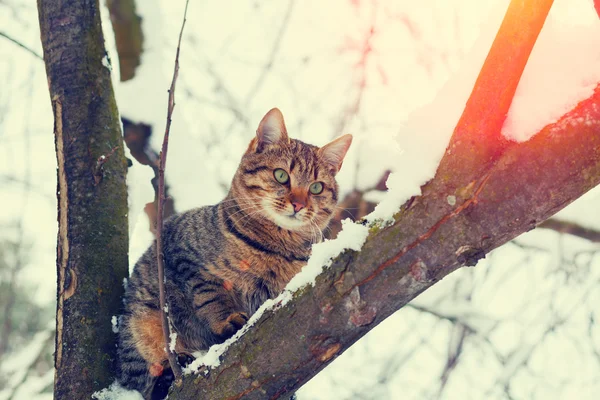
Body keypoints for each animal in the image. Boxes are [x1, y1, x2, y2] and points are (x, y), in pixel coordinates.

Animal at [117, 107, 352, 396]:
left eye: (316, 187)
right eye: (281, 175)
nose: (298, 204)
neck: (277, 247)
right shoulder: (185, 257)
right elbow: (211, 295)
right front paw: (227, 319)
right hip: (143, 321)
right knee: (143, 375)